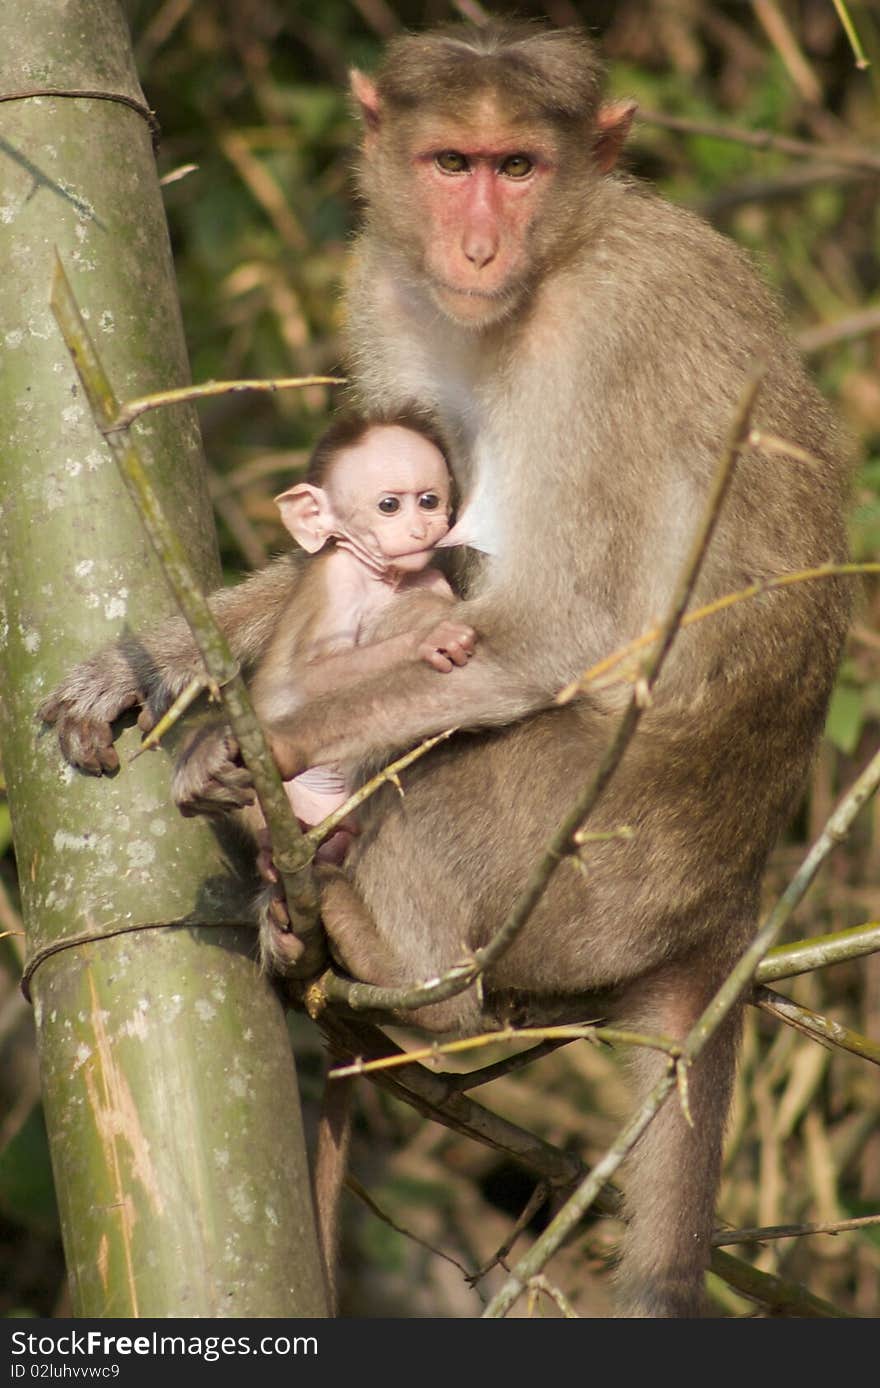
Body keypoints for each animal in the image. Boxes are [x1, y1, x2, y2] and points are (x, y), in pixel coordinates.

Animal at [42, 27, 849, 1315]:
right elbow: (369, 554)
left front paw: (253, 742)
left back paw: (397, 962)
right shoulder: (387, 285)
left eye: (517, 165)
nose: (477, 244)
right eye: (449, 162)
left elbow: (554, 626)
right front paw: (154, 660)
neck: (541, 276)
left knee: (426, 810)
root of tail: (734, 898)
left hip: (598, 865)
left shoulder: (603, 338)